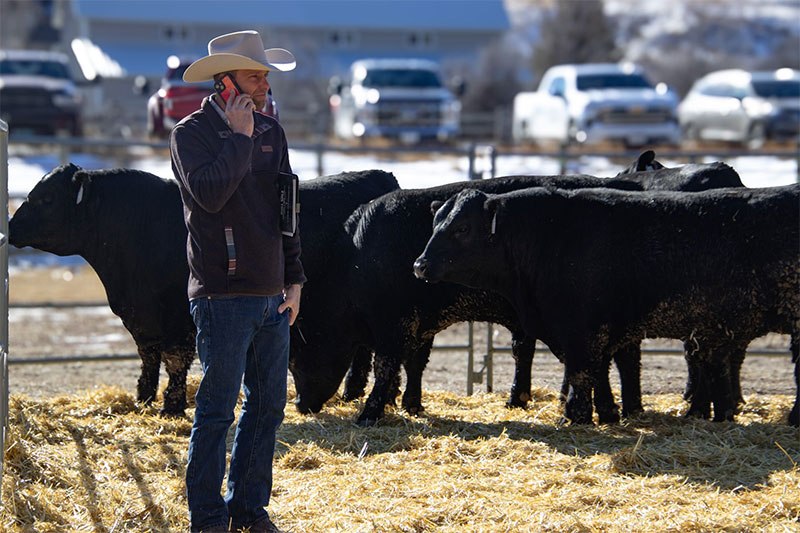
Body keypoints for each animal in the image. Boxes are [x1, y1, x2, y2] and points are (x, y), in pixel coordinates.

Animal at [10, 163, 399, 417]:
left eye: (46, 198)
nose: (11, 226)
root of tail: (381, 176)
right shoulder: (141, 319)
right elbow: (148, 358)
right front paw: (143, 400)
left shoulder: (177, 318)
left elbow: (175, 361)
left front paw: (171, 407)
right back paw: (353, 394)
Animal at [414, 185, 799, 424]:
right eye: (436, 222)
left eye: (463, 228)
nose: (420, 264)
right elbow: (598, 371)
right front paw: (608, 414)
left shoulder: (580, 329)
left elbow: (582, 372)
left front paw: (575, 417)